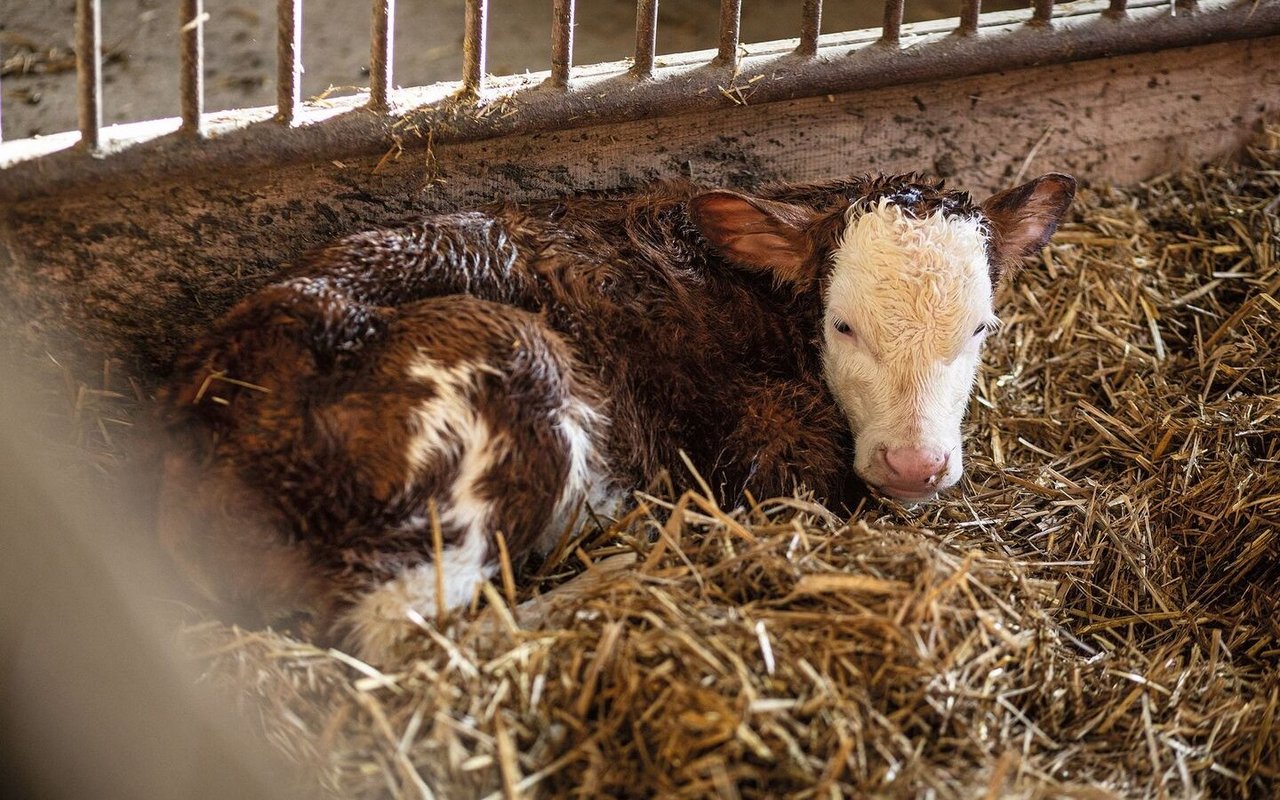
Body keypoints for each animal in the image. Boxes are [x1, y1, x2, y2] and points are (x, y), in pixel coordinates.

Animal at [162, 171, 1080, 660]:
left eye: (982, 327)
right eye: (842, 326)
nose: (915, 466)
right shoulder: (770, 445)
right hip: (506, 375)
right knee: (413, 632)